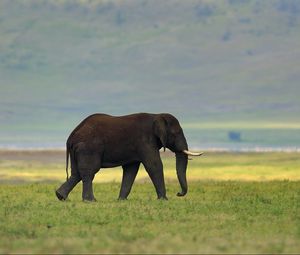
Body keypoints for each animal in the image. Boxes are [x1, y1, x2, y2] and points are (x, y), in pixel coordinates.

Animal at [55, 112, 203, 202]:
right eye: (176, 133)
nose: (178, 193)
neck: (156, 116)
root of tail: (72, 136)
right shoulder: (145, 141)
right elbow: (154, 165)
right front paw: (163, 200)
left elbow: (131, 170)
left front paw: (121, 200)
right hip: (89, 148)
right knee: (89, 172)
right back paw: (90, 201)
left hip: (78, 150)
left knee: (76, 174)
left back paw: (61, 196)